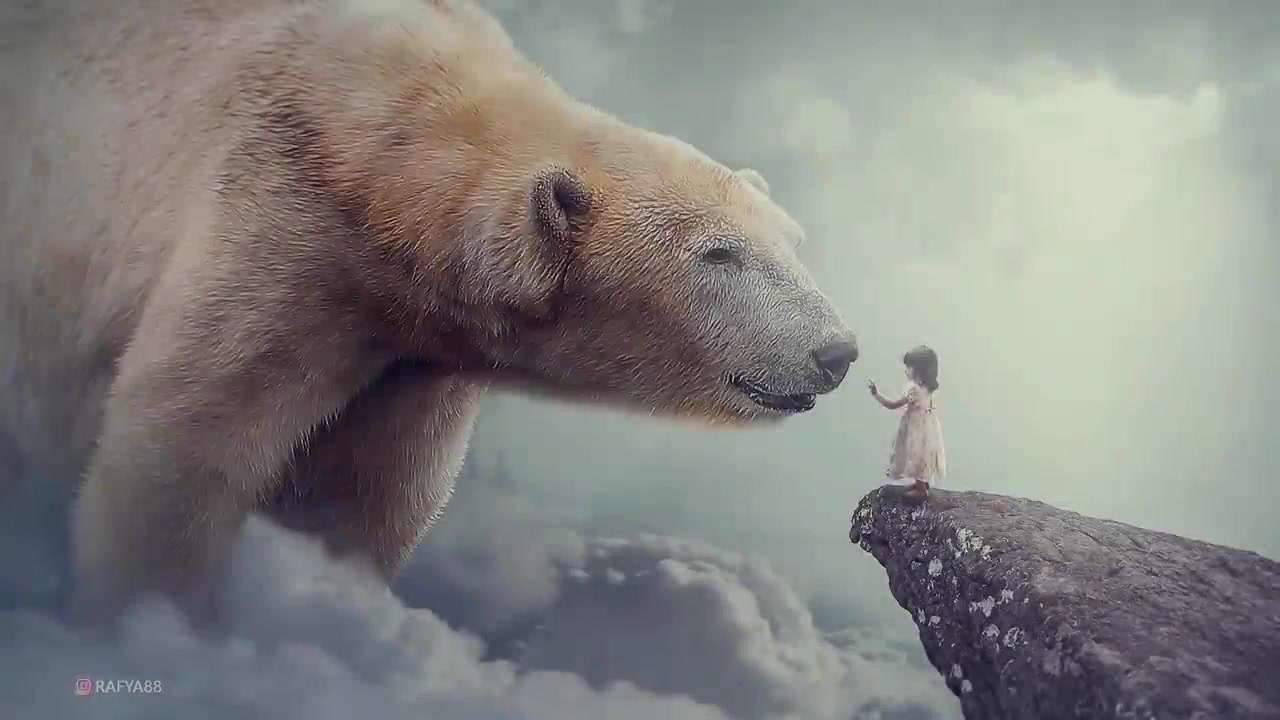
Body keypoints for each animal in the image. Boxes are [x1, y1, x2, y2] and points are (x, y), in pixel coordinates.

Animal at [0, 0, 858, 626]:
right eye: (719, 255)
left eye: (793, 241)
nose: (838, 351)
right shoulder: (279, 228)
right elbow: (184, 439)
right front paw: (156, 624)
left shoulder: (419, 350)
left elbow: (370, 493)